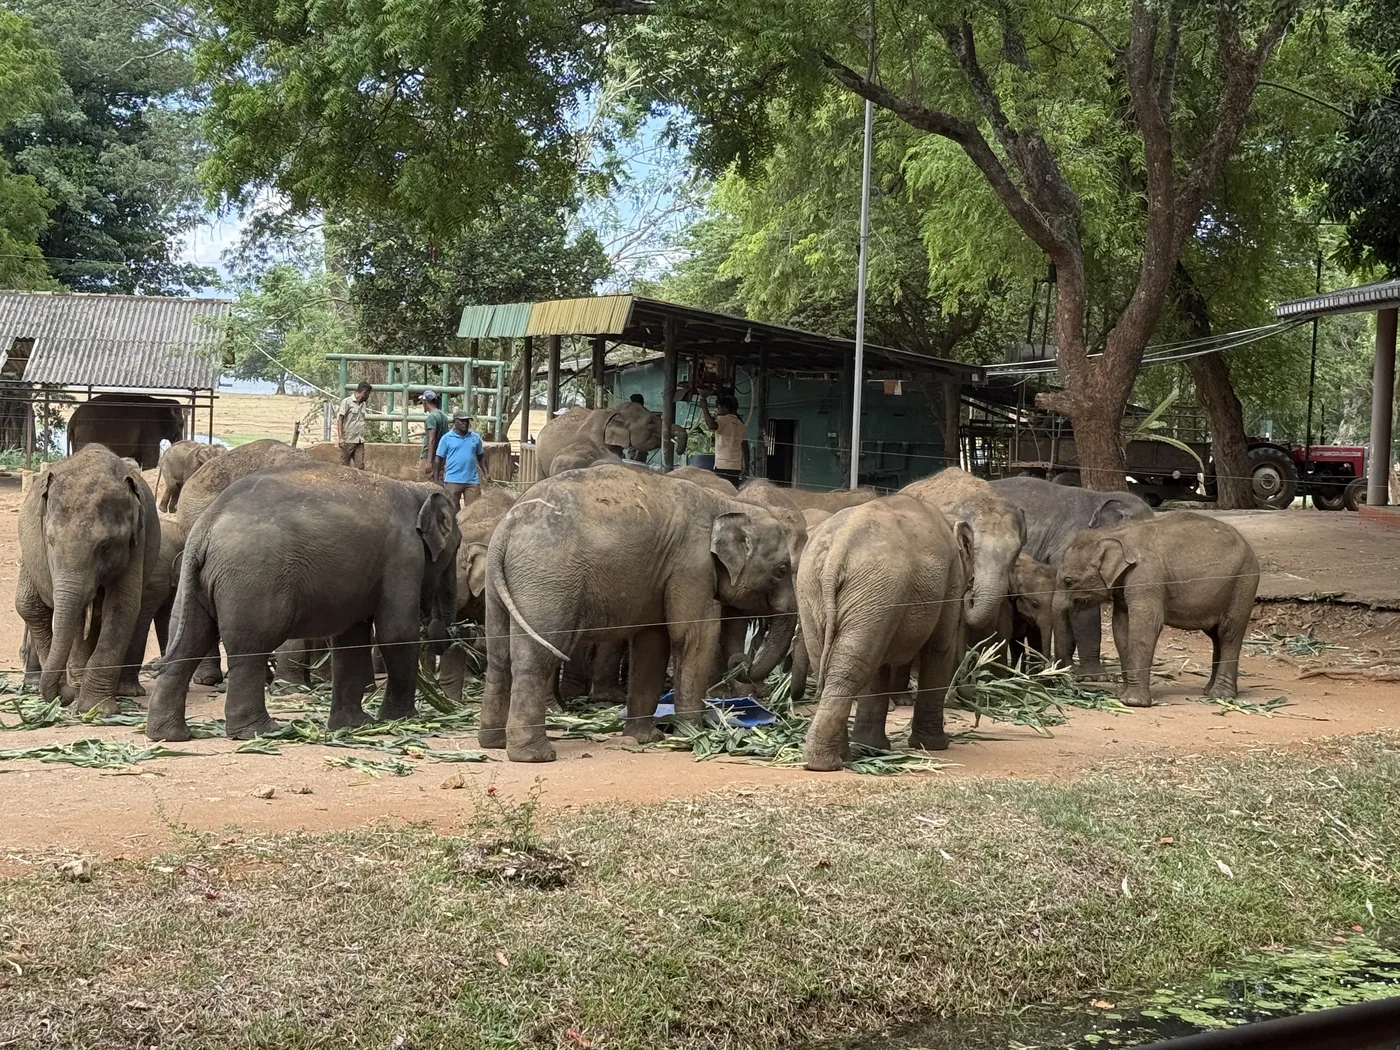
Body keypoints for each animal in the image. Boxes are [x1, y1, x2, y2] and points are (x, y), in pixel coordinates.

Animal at [15, 447, 161, 714]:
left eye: (105, 546)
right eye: (50, 540)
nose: (63, 696)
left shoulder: (138, 542)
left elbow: (122, 606)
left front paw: (96, 709)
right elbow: (73, 615)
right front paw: (82, 699)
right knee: (36, 607)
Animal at [145, 463, 459, 741]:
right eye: (455, 548)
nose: (443, 638)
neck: (413, 487)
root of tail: (204, 529)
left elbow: (351, 638)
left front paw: (355, 725)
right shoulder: (404, 554)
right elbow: (396, 634)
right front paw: (404, 719)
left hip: (195, 586)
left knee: (188, 644)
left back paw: (170, 736)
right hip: (252, 580)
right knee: (250, 650)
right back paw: (261, 732)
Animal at [480, 464, 796, 762]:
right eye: (782, 570)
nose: (743, 661)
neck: (725, 503)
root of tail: (506, 529)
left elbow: (653, 644)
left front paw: (646, 739)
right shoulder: (692, 564)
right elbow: (693, 636)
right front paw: (693, 736)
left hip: (500, 589)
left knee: (499, 658)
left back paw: (494, 743)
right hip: (547, 580)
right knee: (536, 658)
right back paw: (536, 755)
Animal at [798, 496, 972, 771]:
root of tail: (837, 550)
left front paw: (873, 747)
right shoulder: (951, 581)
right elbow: (939, 647)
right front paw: (935, 745)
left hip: (822, 592)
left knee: (843, 663)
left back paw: (836, 758)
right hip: (873, 589)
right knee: (854, 667)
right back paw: (830, 763)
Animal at [1053, 513, 1259, 707]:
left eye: (1069, 581)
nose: (1068, 677)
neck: (1114, 533)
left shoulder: (1146, 577)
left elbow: (1145, 625)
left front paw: (1133, 702)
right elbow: (1121, 627)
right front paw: (1121, 695)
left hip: (1243, 583)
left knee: (1229, 632)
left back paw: (1220, 695)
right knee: (1216, 636)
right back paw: (1208, 691)